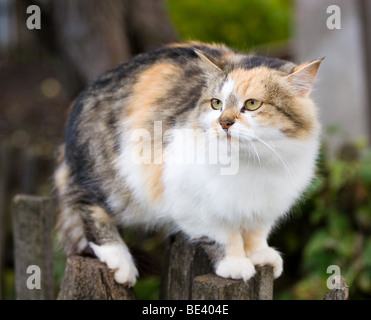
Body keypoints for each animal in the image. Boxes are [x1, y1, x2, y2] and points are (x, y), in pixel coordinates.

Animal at [53, 41, 324, 286]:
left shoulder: (264, 207)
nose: (224, 123)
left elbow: (256, 235)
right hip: (113, 183)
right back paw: (120, 262)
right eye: (216, 104)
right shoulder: (195, 205)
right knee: (87, 207)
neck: (254, 163)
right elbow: (225, 238)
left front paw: (260, 257)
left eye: (252, 104)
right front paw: (235, 264)